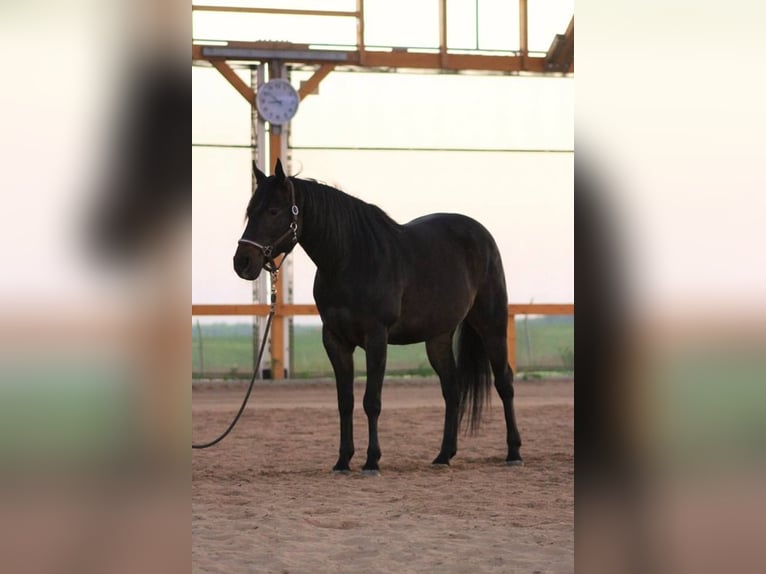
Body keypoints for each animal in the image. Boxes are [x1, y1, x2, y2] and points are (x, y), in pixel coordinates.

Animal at [232, 160, 520, 474]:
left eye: (274, 211)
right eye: (250, 210)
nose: (242, 262)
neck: (350, 260)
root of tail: (481, 234)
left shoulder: (376, 337)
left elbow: (372, 401)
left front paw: (372, 460)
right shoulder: (335, 340)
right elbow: (345, 401)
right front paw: (343, 461)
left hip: (491, 324)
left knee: (504, 382)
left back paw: (513, 452)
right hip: (438, 338)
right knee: (452, 390)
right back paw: (443, 455)